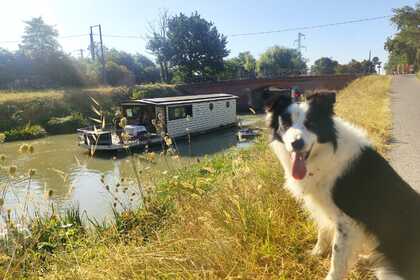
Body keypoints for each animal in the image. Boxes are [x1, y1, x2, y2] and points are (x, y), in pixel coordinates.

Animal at [266, 92, 420, 280]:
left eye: (311, 123)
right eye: (286, 124)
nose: (297, 143)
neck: (325, 153)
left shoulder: (347, 221)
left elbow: (337, 257)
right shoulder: (320, 205)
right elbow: (322, 231)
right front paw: (316, 252)